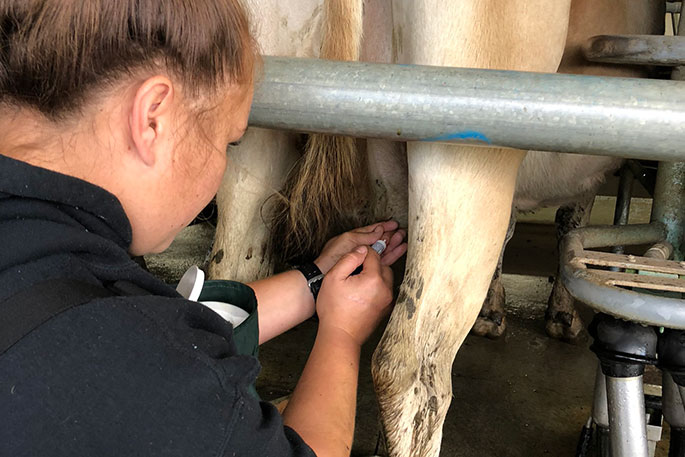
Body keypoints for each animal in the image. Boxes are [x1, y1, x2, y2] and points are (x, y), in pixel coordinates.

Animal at [208, 1, 664, 455]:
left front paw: (493, 313)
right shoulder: (586, 173)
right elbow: (570, 223)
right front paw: (562, 317)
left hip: (254, 133)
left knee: (234, 281)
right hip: (463, 148)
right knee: (410, 370)